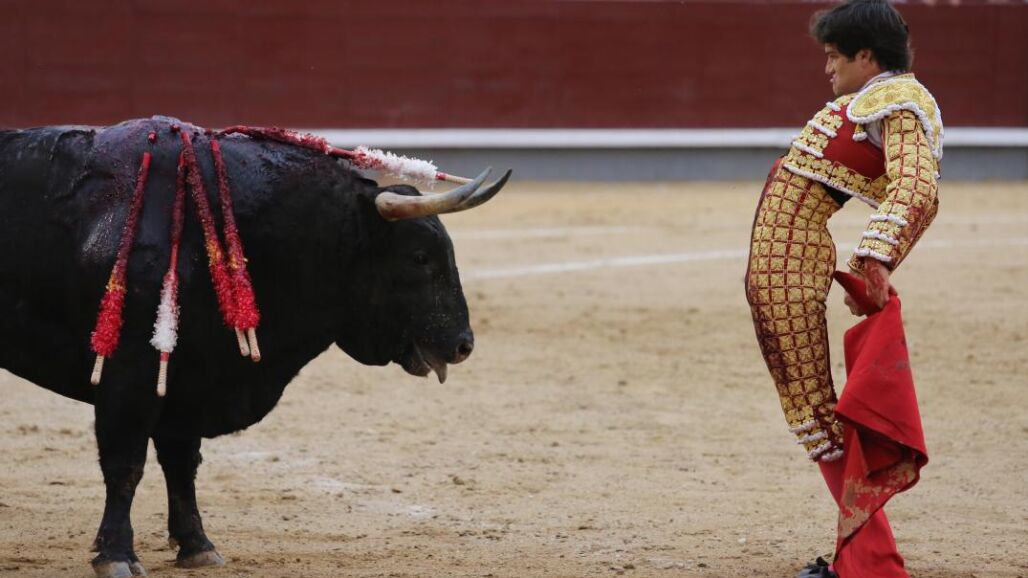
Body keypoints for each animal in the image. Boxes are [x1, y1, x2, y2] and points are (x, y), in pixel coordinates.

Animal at [0, 116, 510, 578]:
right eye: (419, 257)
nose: (463, 344)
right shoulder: (131, 376)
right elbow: (125, 464)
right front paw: (117, 555)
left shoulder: (188, 380)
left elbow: (181, 463)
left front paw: (197, 546)